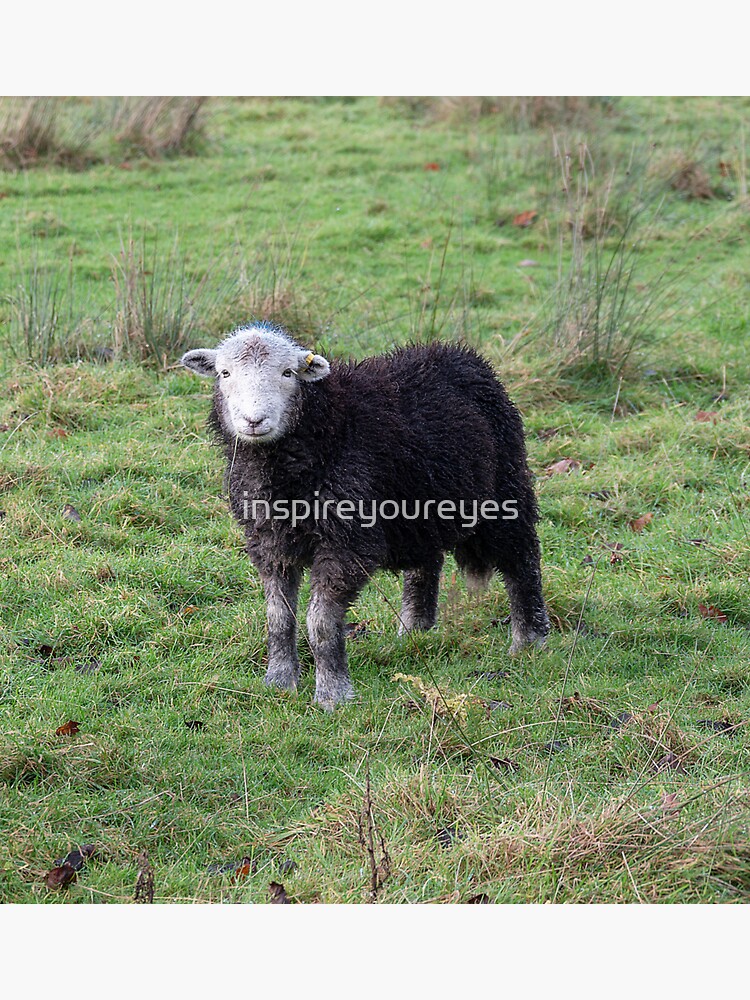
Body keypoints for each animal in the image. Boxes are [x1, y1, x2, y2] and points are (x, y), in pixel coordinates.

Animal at [181, 323, 549, 709]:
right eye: (224, 373)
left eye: (288, 373)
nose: (253, 421)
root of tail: (458, 353)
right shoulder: (269, 541)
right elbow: (278, 617)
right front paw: (279, 682)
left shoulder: (346, 540)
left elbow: (321, 621)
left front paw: (332, 694)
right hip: (420, 502)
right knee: (426, 563)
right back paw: (413, 632)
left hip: (505, 488)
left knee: (522, 559)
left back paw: (529, 640)